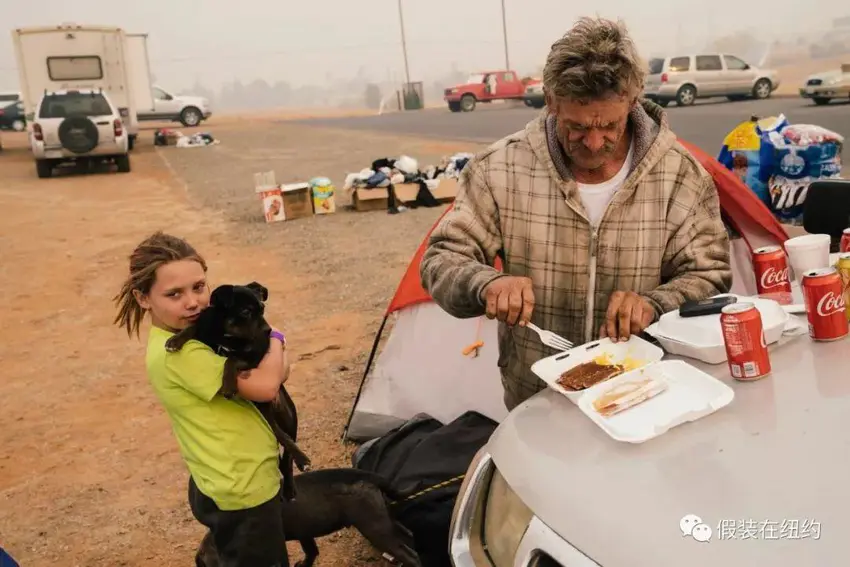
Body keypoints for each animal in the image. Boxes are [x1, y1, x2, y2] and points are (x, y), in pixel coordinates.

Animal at [164, 282, 310, 500]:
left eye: (263, 309)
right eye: (246, 312)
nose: (268, 331)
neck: (226, 335)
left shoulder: (253, 357)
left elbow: (231, 359)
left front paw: (228, 385)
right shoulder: (205, 330)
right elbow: (193, 327)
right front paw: (175, 339)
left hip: (289, 417)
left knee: (287, 447)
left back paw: (298, 469)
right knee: (279, 436)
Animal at [190, 468, 420, 567]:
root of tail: (368, 475)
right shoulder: (305, 533)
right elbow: (311, 552)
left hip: (374, 527)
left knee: (409, 555)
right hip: (383, 519)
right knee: (407, 534)